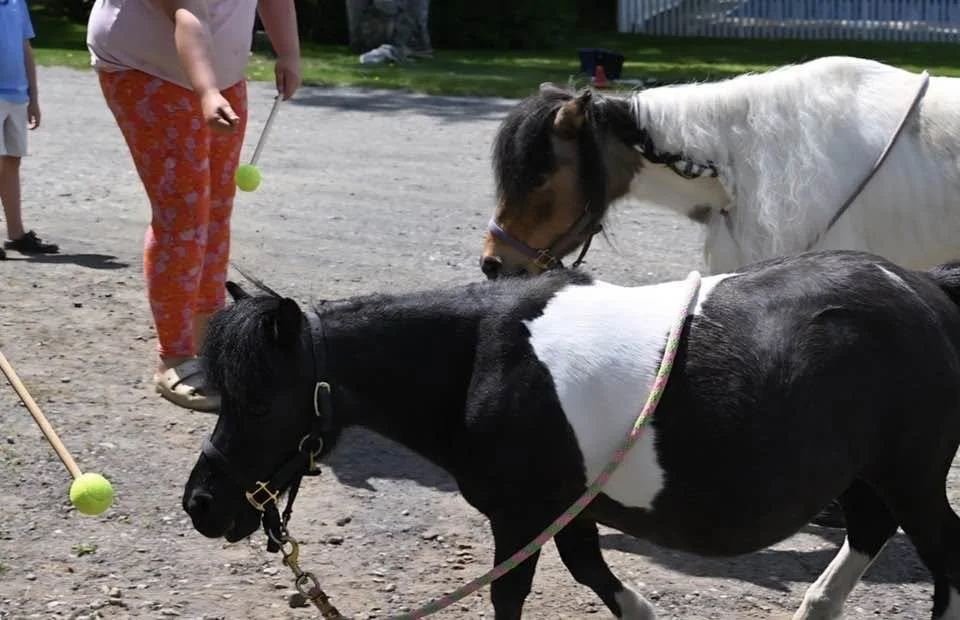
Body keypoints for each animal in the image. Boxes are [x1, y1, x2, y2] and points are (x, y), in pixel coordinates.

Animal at [183, 249, 960, 619]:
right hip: (866, 474)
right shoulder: (568, 508)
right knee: (870, 529)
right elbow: (595, 574)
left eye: (258, 402)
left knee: (941, 555)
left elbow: (510, 596)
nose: (200, 504)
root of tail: (925, 287)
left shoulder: (521, 515)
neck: (481, 359)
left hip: (914, 476)